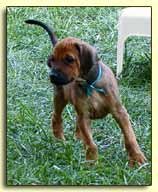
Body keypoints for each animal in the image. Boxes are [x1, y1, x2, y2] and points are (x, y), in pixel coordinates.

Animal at [25, 19, 146, 166]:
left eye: (69, 59)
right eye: (52, 60)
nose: (52, 75)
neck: (90, 84)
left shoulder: (119, 112)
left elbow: (129, 137)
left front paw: (137, 158)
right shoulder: (84, 115)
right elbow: (90, 143)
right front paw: (92, 162)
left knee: (76, 124)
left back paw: (77, 138)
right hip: (60, 97)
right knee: (57, 117)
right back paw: (59, 140)